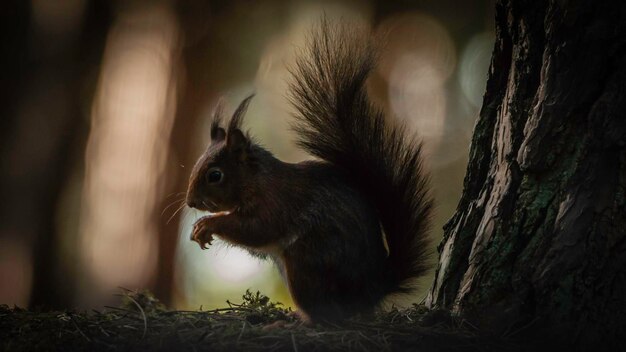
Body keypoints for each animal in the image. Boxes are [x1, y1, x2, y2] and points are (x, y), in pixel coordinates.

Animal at [183, 18, 432, 322]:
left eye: (215, 175)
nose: (190, 202)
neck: (258, 180)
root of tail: (371, 292)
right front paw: (199, 231)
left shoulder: (276, 203)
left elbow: (256, 229)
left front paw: (207, 224)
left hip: (306, 262)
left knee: (325, 316)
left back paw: (292, 322)